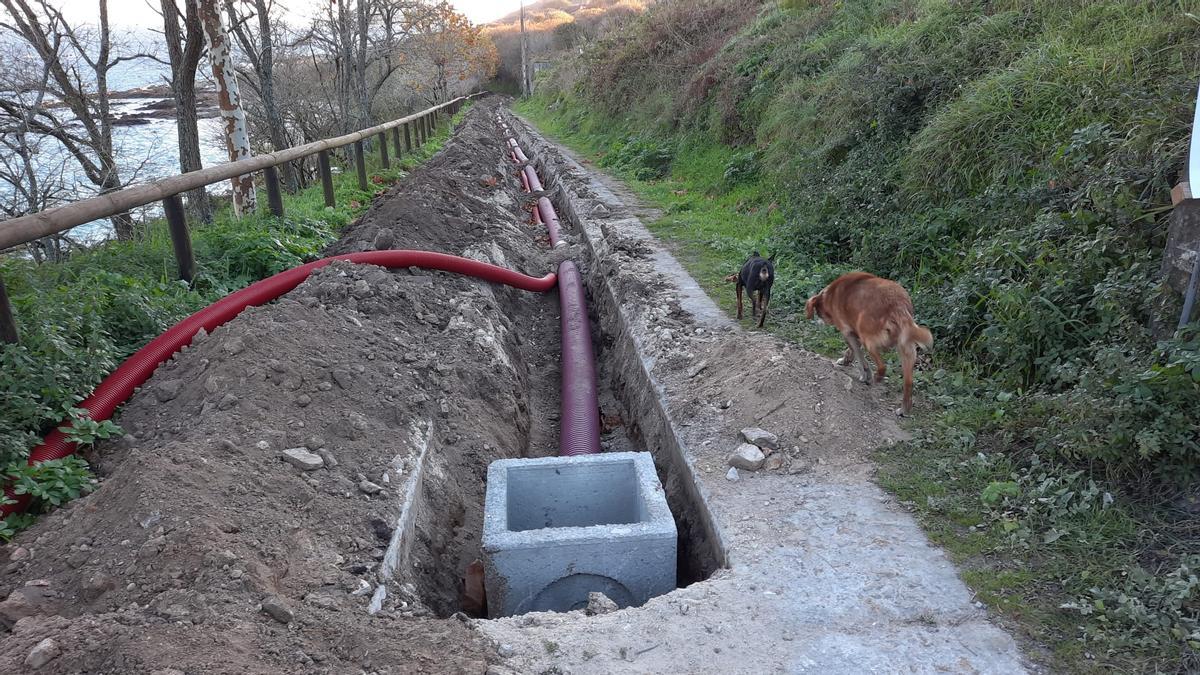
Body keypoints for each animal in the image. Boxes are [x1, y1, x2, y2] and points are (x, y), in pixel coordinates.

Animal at [811, 270, 931, 413]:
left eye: (818, 313)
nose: (818, 323)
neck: (830, 295)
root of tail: (897, 306)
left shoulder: (848, 333)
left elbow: (859, 356)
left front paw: (863, 373)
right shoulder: (854, 334)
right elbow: (854, 352)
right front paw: (848, 361)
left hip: (869, 340)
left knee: (882, 366)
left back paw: (875, 378)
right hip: (907, 352)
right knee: (908, 383)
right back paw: (903, 410)